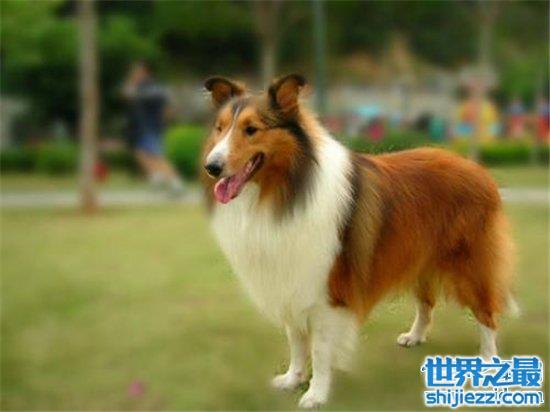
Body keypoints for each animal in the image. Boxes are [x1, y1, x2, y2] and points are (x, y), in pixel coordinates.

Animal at [200, 74, 515, 408]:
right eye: (219, 128)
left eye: (251, 129)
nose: (212, 167)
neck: (286, 191)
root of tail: (477, 168)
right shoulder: (292, 284)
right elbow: (296, 341)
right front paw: (293, 379)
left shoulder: (326, 294)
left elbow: (319, 350)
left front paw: (315, 394)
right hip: (418, 257)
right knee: (426, 303)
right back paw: (414, 336)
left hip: (470, 265)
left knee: (486, 314)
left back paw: (489, 361)